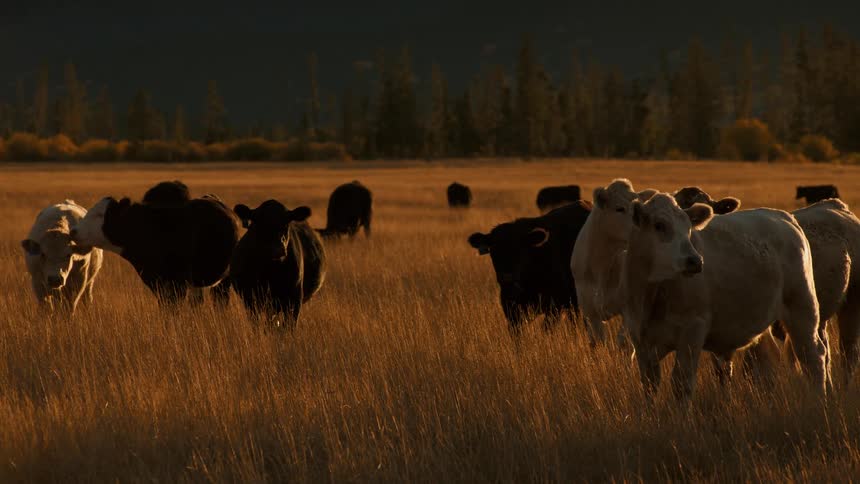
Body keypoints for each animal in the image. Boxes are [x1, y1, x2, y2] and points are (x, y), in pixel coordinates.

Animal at [468, 201, 592, 336]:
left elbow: (547, 329)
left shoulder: (556, 304)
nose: (507, 278)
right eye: (494, 252)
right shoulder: (511, 309)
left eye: (520, 251)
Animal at [620, 193, 827, 400]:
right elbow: (649, 387)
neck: (651, 296)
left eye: (688, 227)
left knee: (813, 357)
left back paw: (819, 398)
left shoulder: (692, 331)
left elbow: (682, 385)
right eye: (659, 225)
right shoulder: (641, 343)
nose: (694, 261)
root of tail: (784, 217)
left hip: (802, 307)